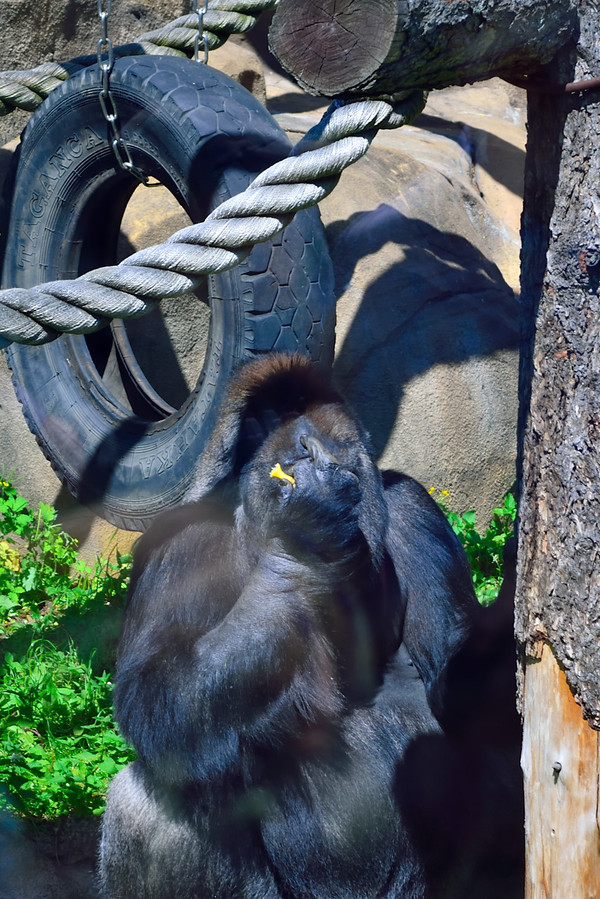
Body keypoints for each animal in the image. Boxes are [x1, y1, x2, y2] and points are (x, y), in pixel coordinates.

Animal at [101, 352, 524, 899]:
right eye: (281, 438)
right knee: (150, 801)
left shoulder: (410, 505)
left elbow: (455, 684)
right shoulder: (179, 538)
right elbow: (153, 691)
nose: (307, 452)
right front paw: (305, 544)